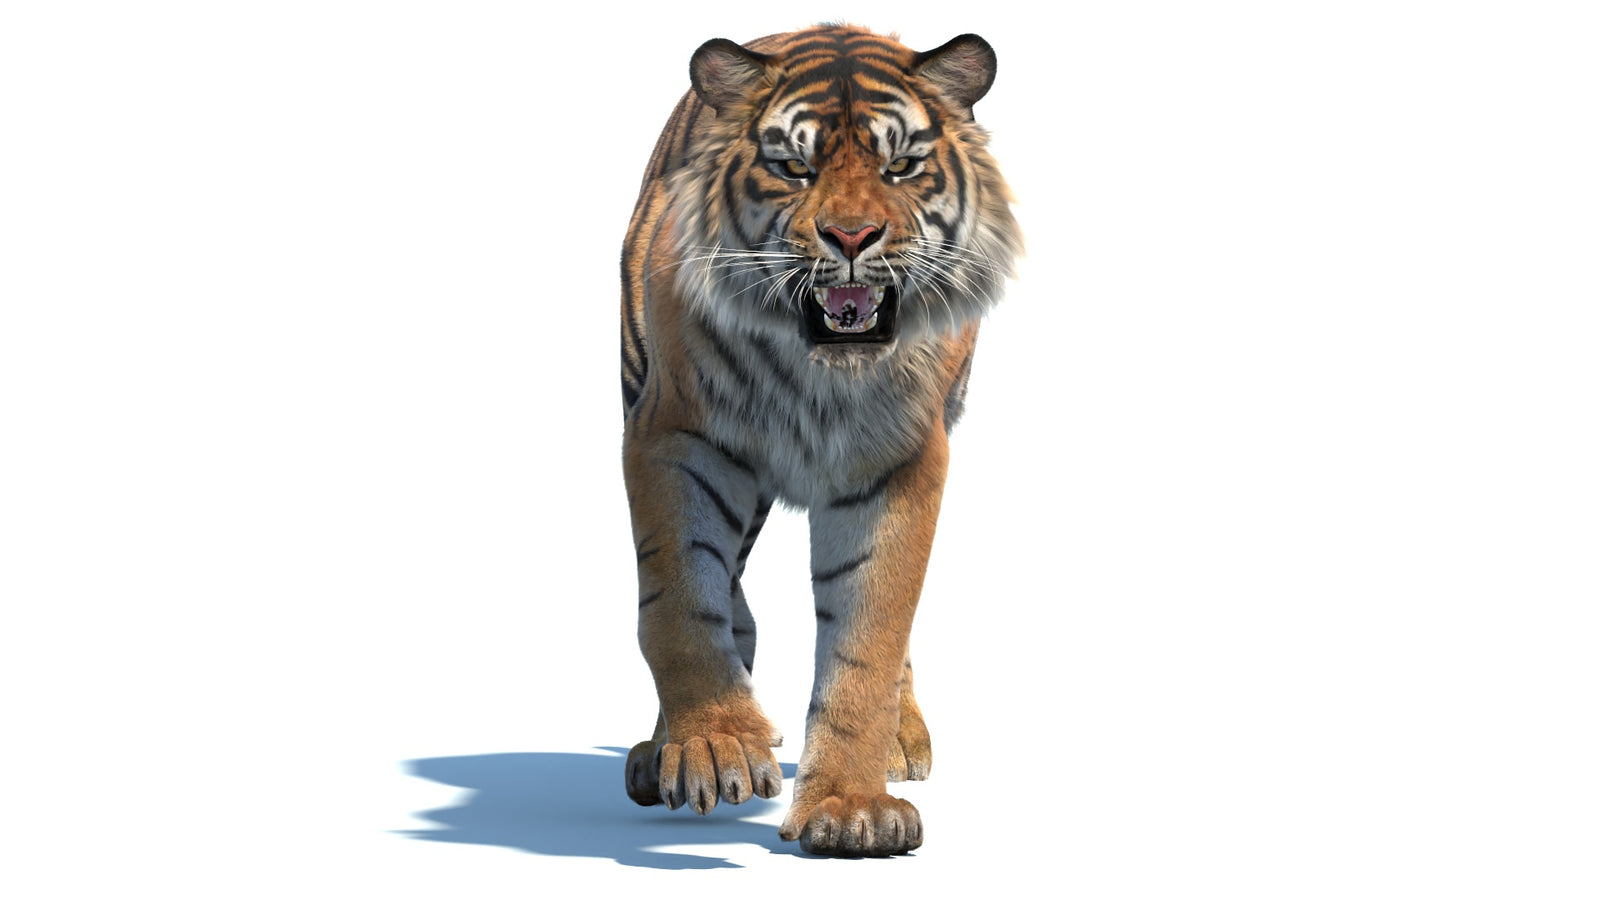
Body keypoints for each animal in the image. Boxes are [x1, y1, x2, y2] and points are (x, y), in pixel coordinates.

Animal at [618, 24, 1021, 857]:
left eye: (901, 165)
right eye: (793, 167)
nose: (851, 237)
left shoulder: (902, 461)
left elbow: (870, 635)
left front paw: (850, 806)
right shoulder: (675, 434)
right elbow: (680, 600)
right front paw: (713, 747)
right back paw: (664, 751)